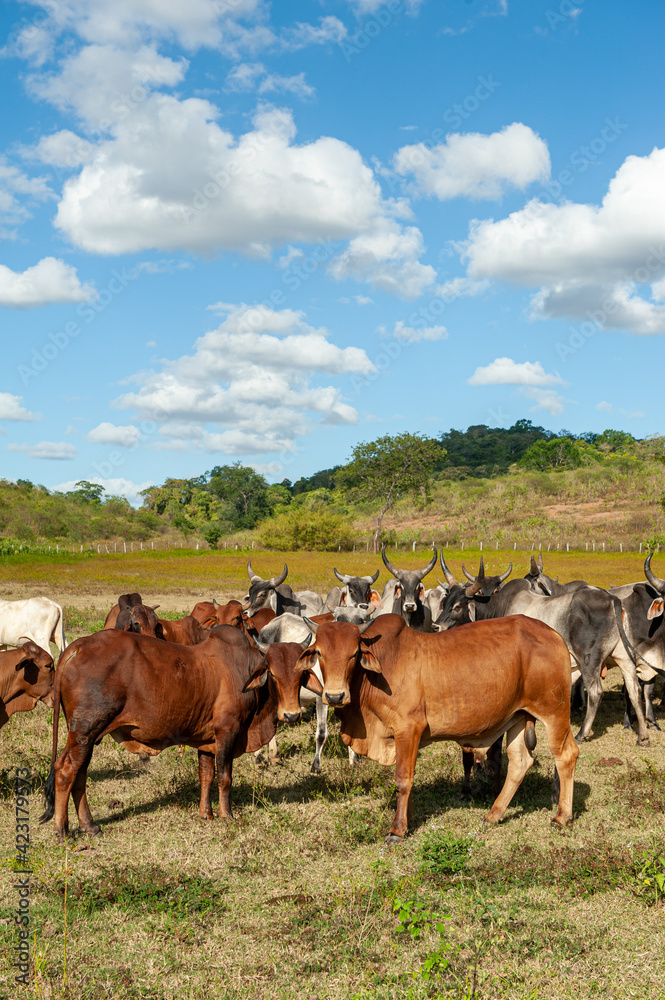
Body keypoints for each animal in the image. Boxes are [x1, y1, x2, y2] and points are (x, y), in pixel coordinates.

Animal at [40, 628, 310, 840]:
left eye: (300, 674)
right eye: (273, 673)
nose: (291, 715)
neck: (242, 668)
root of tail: (79, 646)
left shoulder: (207, 741)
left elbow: (206, 776)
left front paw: (206, 814)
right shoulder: (228, 731)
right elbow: (224, 777)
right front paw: (226, 815)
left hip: (88, 736)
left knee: (80, 774)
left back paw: (90, 826)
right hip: (86, 730)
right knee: (65, 771)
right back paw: (62, 830)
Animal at [298, 612, 580, 840]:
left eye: (354, 654)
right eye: (320, 652)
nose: (335, 696)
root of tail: (554, 634)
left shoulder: (408, 729)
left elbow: (403, 779)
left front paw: (397, 830)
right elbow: (408, 780)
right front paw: (408, 819)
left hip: (554, 712)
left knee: (566, 755)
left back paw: (561, 816)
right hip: (518, 717)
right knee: (520, 762)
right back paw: (494, 814)